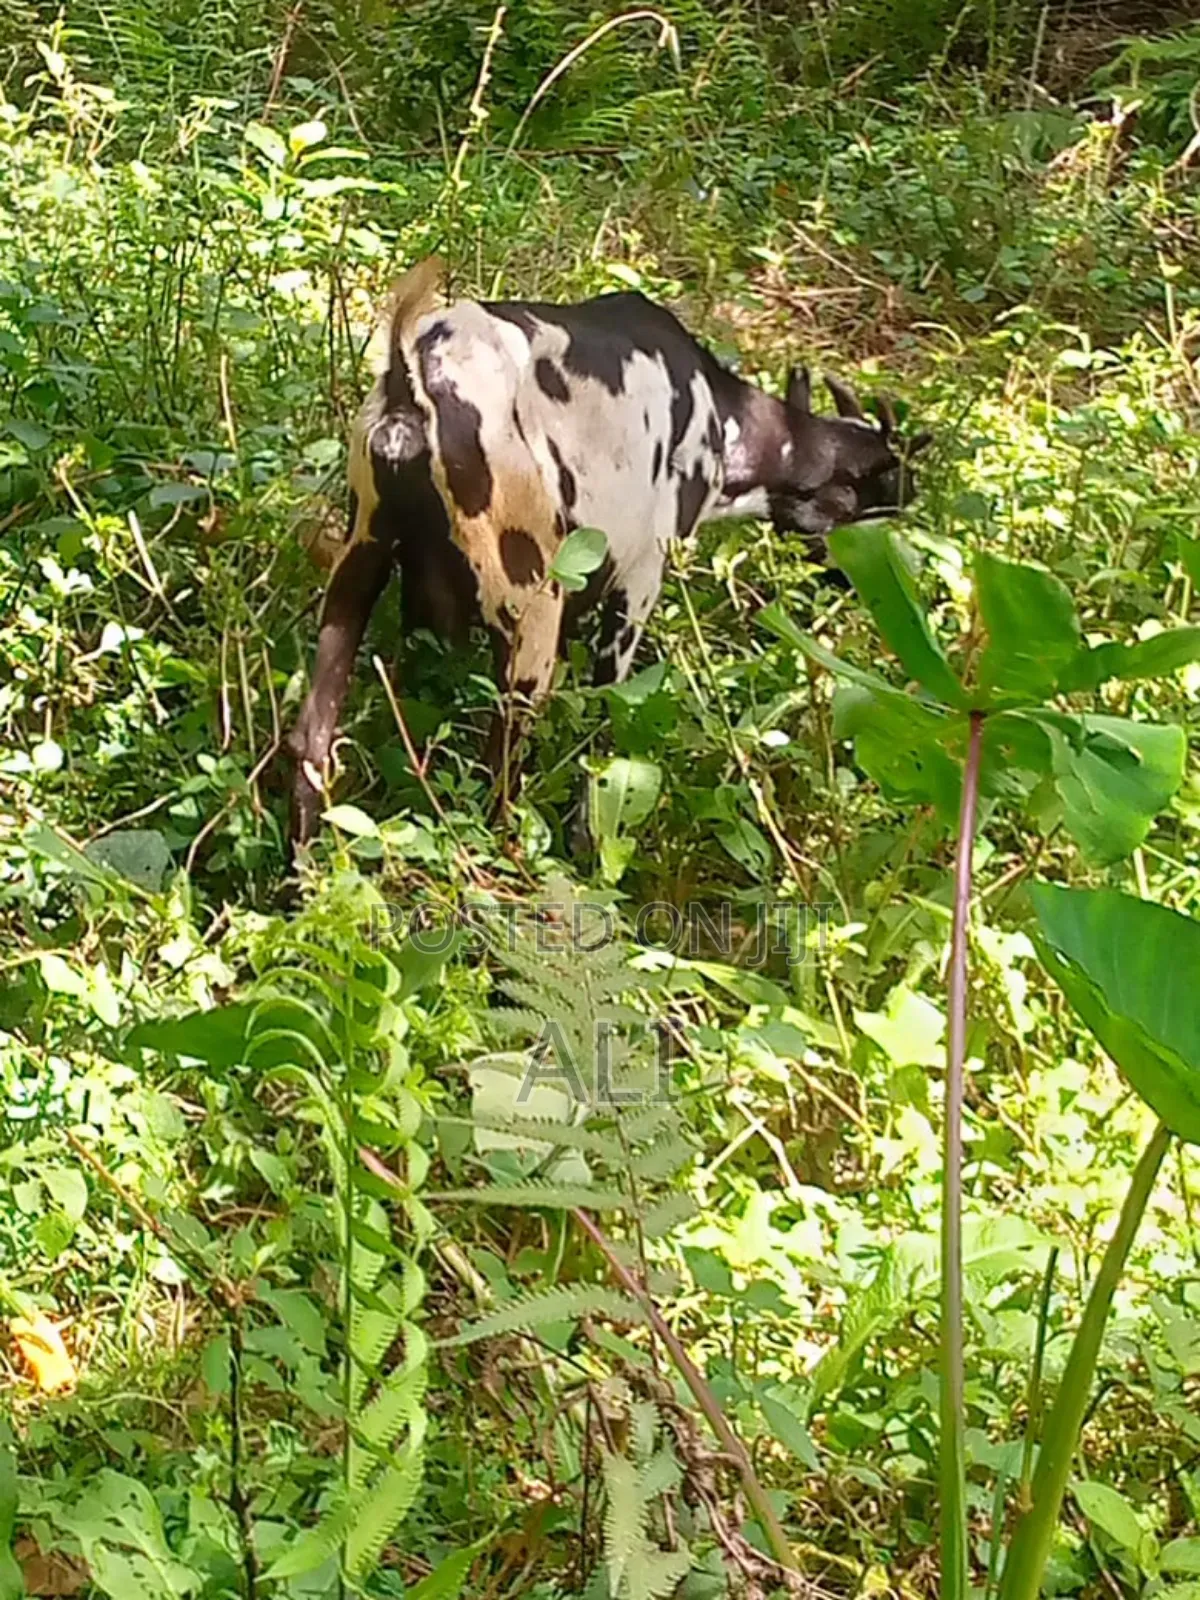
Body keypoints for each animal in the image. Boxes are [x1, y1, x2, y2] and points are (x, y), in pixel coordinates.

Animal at [287, 257, 926, 846]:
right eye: (882, 497)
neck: (723, 417)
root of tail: (414, 381)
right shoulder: (640, 580)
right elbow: (607, 714)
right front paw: (586, 837)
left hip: (357, 568)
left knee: (311, 744)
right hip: (529, 622)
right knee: (499, 772)